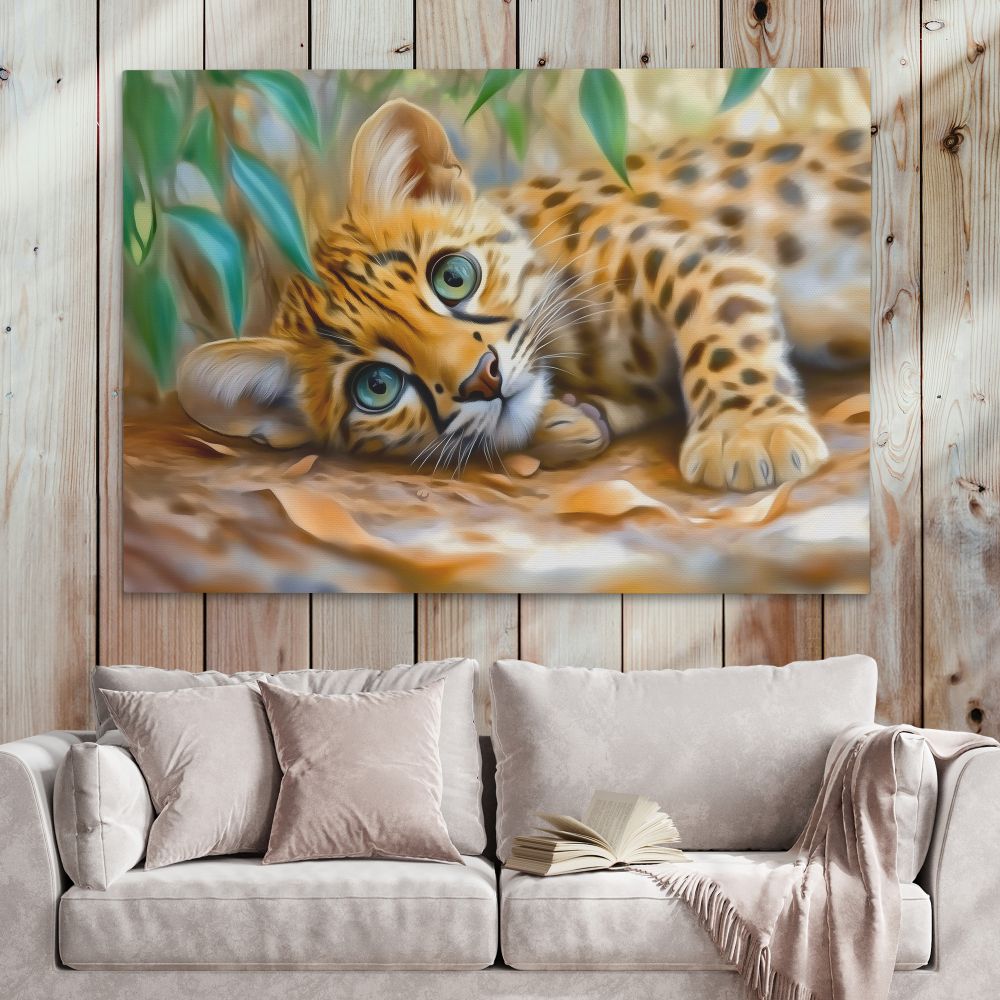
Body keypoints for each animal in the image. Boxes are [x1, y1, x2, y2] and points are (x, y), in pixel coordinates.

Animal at [178, 97, 870, 491]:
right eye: (376, 387)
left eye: (453, 277)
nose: (481, 379)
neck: (578, 347)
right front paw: (568, 421)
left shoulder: (702, 255)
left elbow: (721, 328)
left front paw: (749, 434)